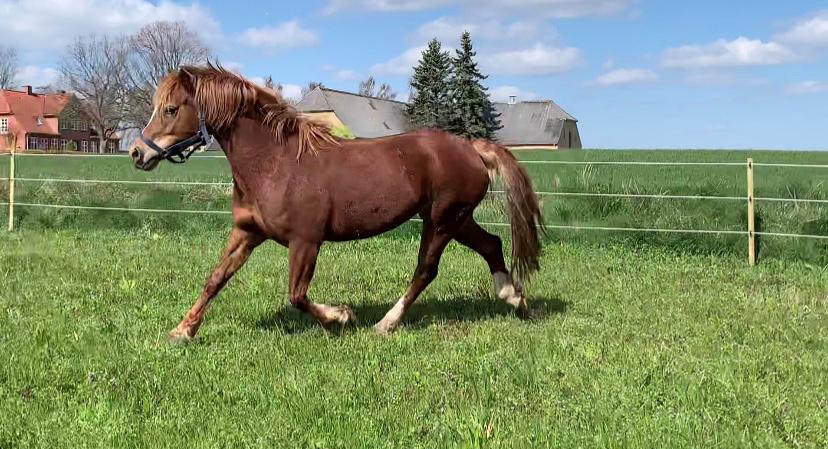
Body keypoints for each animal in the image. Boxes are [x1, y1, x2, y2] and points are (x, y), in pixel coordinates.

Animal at [129, 65, 544, 342]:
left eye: (170, 109)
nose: (137, 153)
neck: (275, 163)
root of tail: (471, 148)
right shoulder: (247, 233)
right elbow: (215, 279)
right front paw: (182, 330)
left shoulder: (306, 241)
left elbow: (297, 295)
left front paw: (341, 317)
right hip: (456, 219)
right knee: (491, 244)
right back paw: (514, 298)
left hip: (442, 221)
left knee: (426, 270)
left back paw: (385, 324)